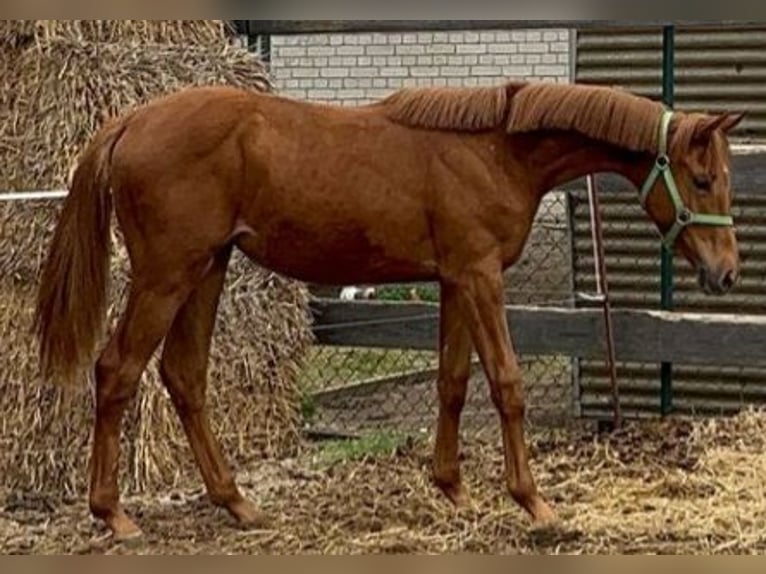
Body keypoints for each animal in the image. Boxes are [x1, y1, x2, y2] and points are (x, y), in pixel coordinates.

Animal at [34, 80, 744, 540]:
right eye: (703, 179)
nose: (726, 272)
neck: (494, 150)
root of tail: (129, 122)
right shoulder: (481, 277)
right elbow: (506, 384)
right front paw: (535, 505)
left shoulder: (455, 280)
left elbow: (453, 383)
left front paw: (453, 488)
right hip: (166, 276)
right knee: (117, 371)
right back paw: (115, 515)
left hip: (207, 269)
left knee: (184, 377)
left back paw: (238, 504)